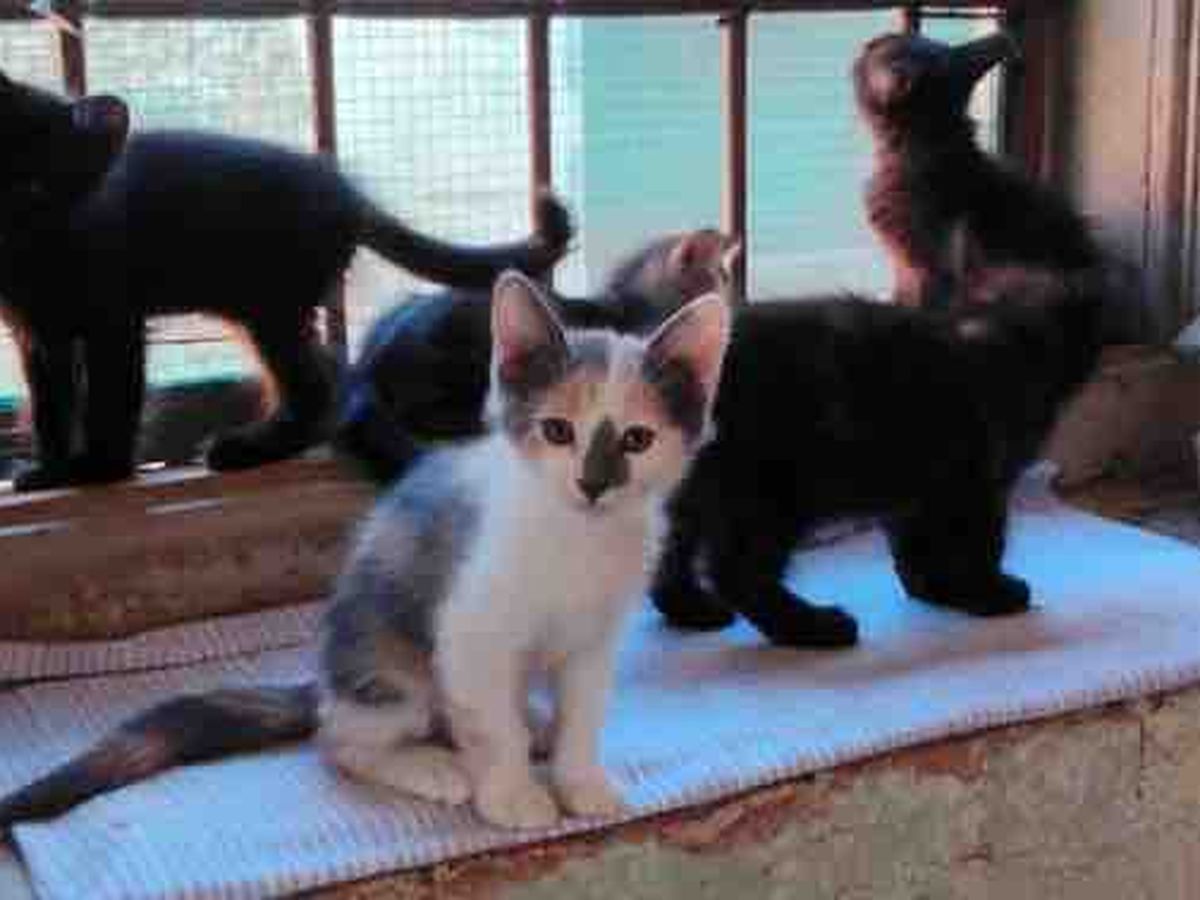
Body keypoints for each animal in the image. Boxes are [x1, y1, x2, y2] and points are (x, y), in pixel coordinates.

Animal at [0, 71, 572, 491]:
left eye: (46, 179)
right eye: (23, 178)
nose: (107, 108)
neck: (34, 252)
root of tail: (344, 191)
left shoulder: (114, 320)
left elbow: (111, 398)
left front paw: (102, 469)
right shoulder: (38, 333)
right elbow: (50, 403)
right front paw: (53, 470)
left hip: (269, 305)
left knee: (318, 390)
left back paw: (250, 448)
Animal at [0, 271, 731, 831]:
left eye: (636, 440)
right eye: (557, 431)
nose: (593, 484)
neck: (576, 537)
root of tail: (325, 680)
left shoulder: (593, 641)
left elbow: (584, 713)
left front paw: (580, 781)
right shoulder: (470, 630)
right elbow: (490, 724)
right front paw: (511, 795)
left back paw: (534, 724)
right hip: (390, 667)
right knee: (343, 739)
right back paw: (435, 763)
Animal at [650, 264, 1108, 647]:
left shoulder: (920, 486)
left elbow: (915, 546)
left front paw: (934, 589)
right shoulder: (975, 480)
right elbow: (979, 542)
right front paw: (986, 592)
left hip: (689, 495)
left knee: (668, 555)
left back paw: (692, 608)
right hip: (771, 493)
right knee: (739, 571)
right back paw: (813, 627)